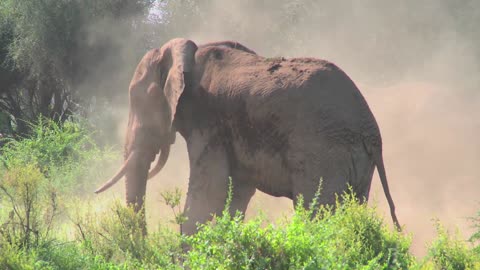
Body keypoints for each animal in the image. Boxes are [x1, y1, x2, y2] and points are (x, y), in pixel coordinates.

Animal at [94, 38, 402, 234]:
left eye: (137, 101)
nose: (143, 243)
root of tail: (371, 129)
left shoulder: (209, 122)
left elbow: (210, 191)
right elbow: (236, 193)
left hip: (325, 152)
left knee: (316, 213)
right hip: (354, 158)